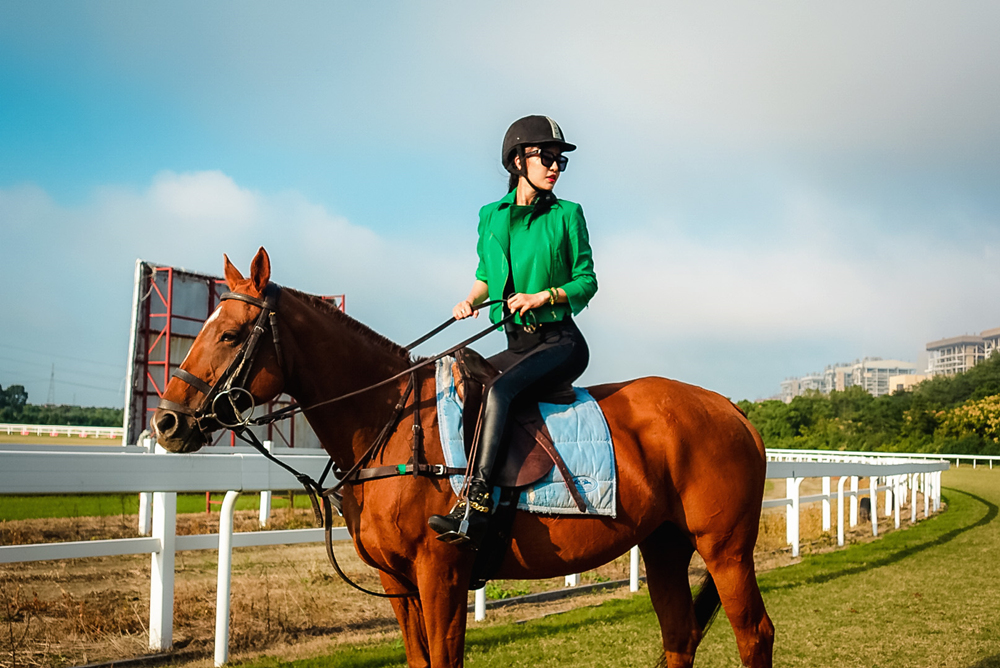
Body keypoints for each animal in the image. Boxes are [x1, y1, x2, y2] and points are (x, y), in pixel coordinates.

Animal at [152, 248, 772, 664]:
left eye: (231, 334)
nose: (167, 421)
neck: (391, 420)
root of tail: (731, 409)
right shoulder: (399, 583)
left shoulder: (440, 574)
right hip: (665, 543)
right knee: (680, 635)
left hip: (725, 550)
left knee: (754, 633)